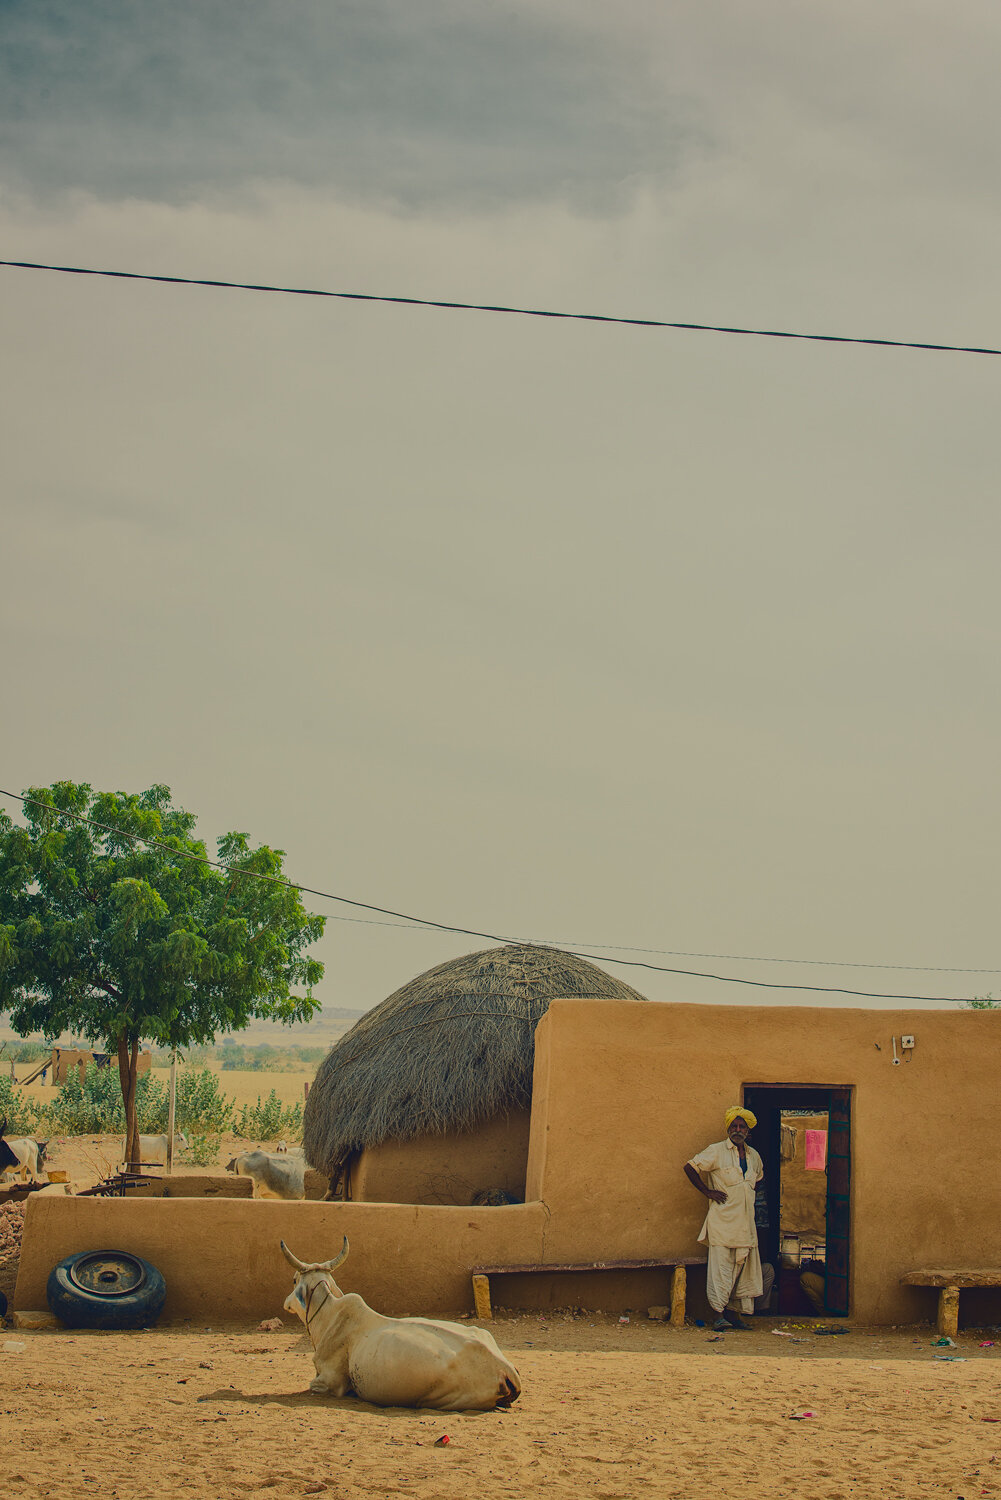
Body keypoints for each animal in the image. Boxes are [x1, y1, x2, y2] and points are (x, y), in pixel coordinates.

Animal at [279, 1238, 522, 1411]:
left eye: (293, 1280)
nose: (286, 1303)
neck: (329, 1315)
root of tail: (506, 1371)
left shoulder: (330, 1382)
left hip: (442, 1398)